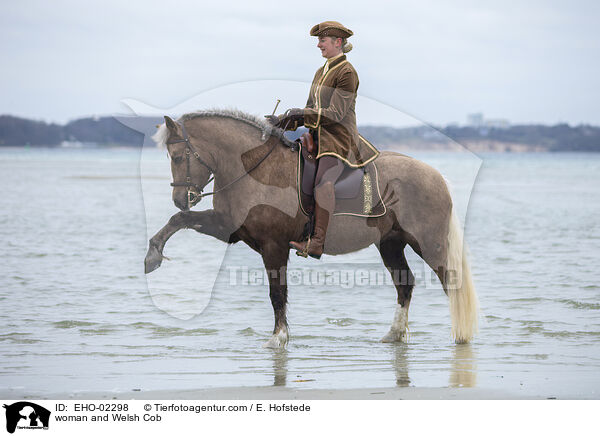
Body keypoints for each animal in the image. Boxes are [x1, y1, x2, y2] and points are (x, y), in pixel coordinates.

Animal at [144, 109, 478, 348]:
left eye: (178, 157)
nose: (180, 199)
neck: (254, 168)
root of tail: (436, 176)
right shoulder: (229, 229)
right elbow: (179, 222)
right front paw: (153, 255)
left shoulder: (273, 246)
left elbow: (277, 293)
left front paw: (278, 337)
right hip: (390, 244)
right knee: (404, 284)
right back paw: (394, 335)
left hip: (429, 244)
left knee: (451, 283)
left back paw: (460, 335)